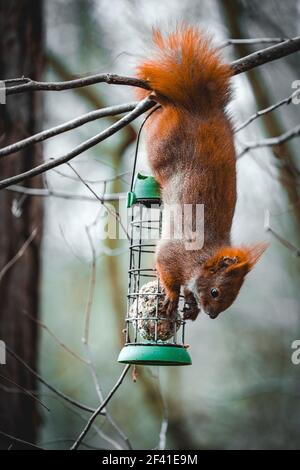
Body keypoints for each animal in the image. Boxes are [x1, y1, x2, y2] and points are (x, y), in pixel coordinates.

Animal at [135, 26, 266, 320]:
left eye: (234, 296)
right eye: (216, 291)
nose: (213, 315)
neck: (201, 258)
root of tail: (200, 107)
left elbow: (187, 287)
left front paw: (190, 303)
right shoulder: (172, 254)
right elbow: (166, 270)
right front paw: (174, 297)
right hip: (160, 144)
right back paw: (160, 99)